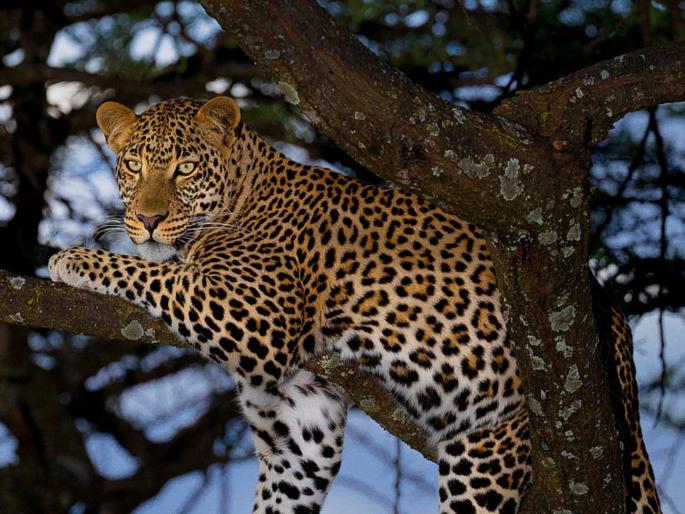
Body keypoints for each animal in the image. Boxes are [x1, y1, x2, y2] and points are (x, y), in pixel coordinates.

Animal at [49, 96, 661, 513]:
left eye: (185, 169)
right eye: (132, 166)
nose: (148, 219)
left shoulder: (254, 309)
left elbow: (156, 273)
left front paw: (73, 258)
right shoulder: (301, 421)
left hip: (491, 454)